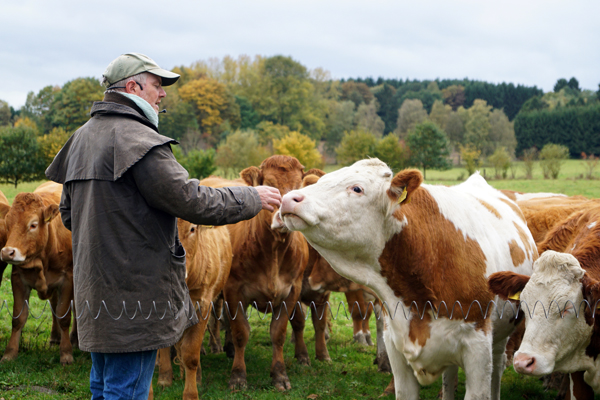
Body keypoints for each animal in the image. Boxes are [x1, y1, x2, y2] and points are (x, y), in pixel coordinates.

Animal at [0, 183, 74, 364]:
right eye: (8, 223)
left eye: (33, 225)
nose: (7, 253)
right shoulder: (18, 279)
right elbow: (18, 318)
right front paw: (9, 353)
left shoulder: (68, 279)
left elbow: (64, 316)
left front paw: (66, 353)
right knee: (54, 304)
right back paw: (55, 338)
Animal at [212, 156, 322, 390]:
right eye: (270, 185)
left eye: (299, 188)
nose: (284, 216)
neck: (274, 252)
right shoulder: (233, 290)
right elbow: (241, 332)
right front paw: (238, 376)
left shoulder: (292, 290)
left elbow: (278, 334)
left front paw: (280, 375)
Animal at [278, 159, 536, 400]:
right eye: (322, 181)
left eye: (357, 188)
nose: (289, 198)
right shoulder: (396, 348)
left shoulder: (478, 351)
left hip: (499, 339)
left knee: (497, 370)